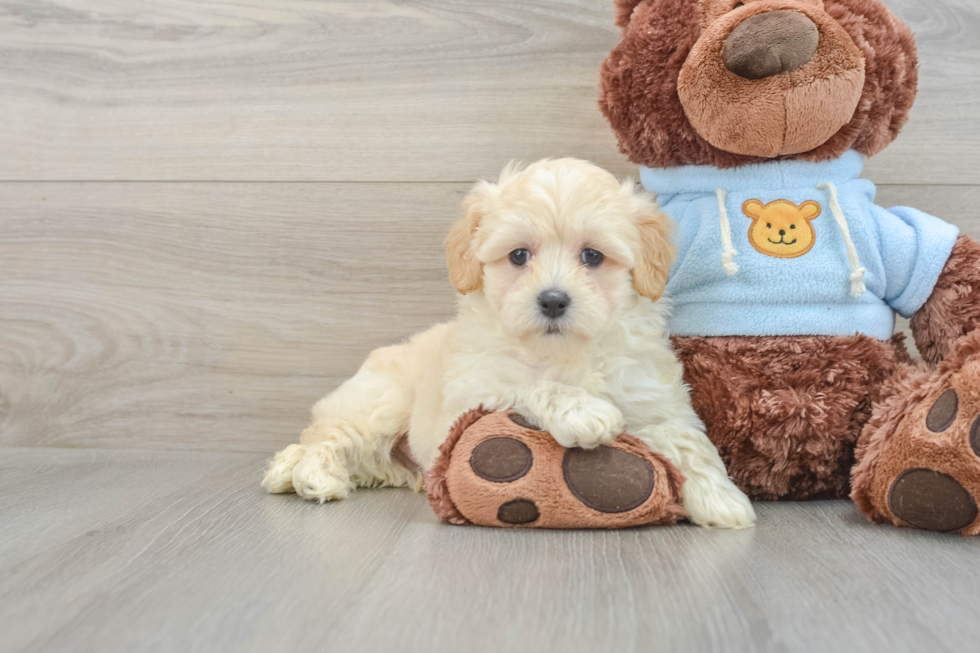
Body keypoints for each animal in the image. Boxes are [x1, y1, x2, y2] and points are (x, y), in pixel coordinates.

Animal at [264, 158, 756, 528]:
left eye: (592, 256)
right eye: (519, 255)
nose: (553, 300)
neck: (564, 352)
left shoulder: (652, 396)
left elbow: (687, 440)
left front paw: (722, 501)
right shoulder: (471, 396)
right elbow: (529, 386)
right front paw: (584, 413)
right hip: (379, 403)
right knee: (323, 436)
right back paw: (313, 475)